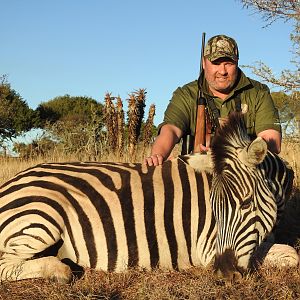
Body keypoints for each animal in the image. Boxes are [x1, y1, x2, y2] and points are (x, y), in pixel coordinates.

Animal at [0, 112, 292, 282]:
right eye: (213, 210)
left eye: (246, 204)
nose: (224, 274)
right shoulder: (208, 247)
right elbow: (290, 255)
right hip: (40, 217)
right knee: (6, 265)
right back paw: (59, 270)